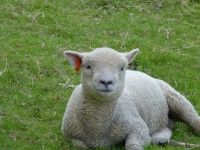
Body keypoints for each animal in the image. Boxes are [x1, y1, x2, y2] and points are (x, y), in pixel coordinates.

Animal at [61, 47, 200, 149]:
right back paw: (160, 138)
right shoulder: (71, 137)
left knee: (193, 119)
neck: (98, 127)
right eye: (88, 66)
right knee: (165, 128)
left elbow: (133, 144)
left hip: (177, 100)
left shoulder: (138, 127)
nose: (106, 82)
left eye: (122, 68)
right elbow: (81, 146)